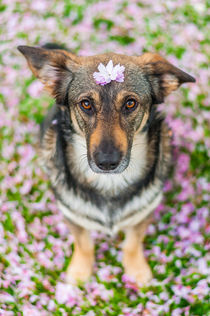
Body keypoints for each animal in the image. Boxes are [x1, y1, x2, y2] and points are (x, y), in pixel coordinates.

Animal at [18, 45, 195, 286]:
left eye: (130, 103)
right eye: (86, 104)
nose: (107, 162)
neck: (110, 182)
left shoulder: (144, 213)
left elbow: (132, 242)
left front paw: (136, 269)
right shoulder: (72, 215)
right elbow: (83, 244)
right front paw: (80, 271)